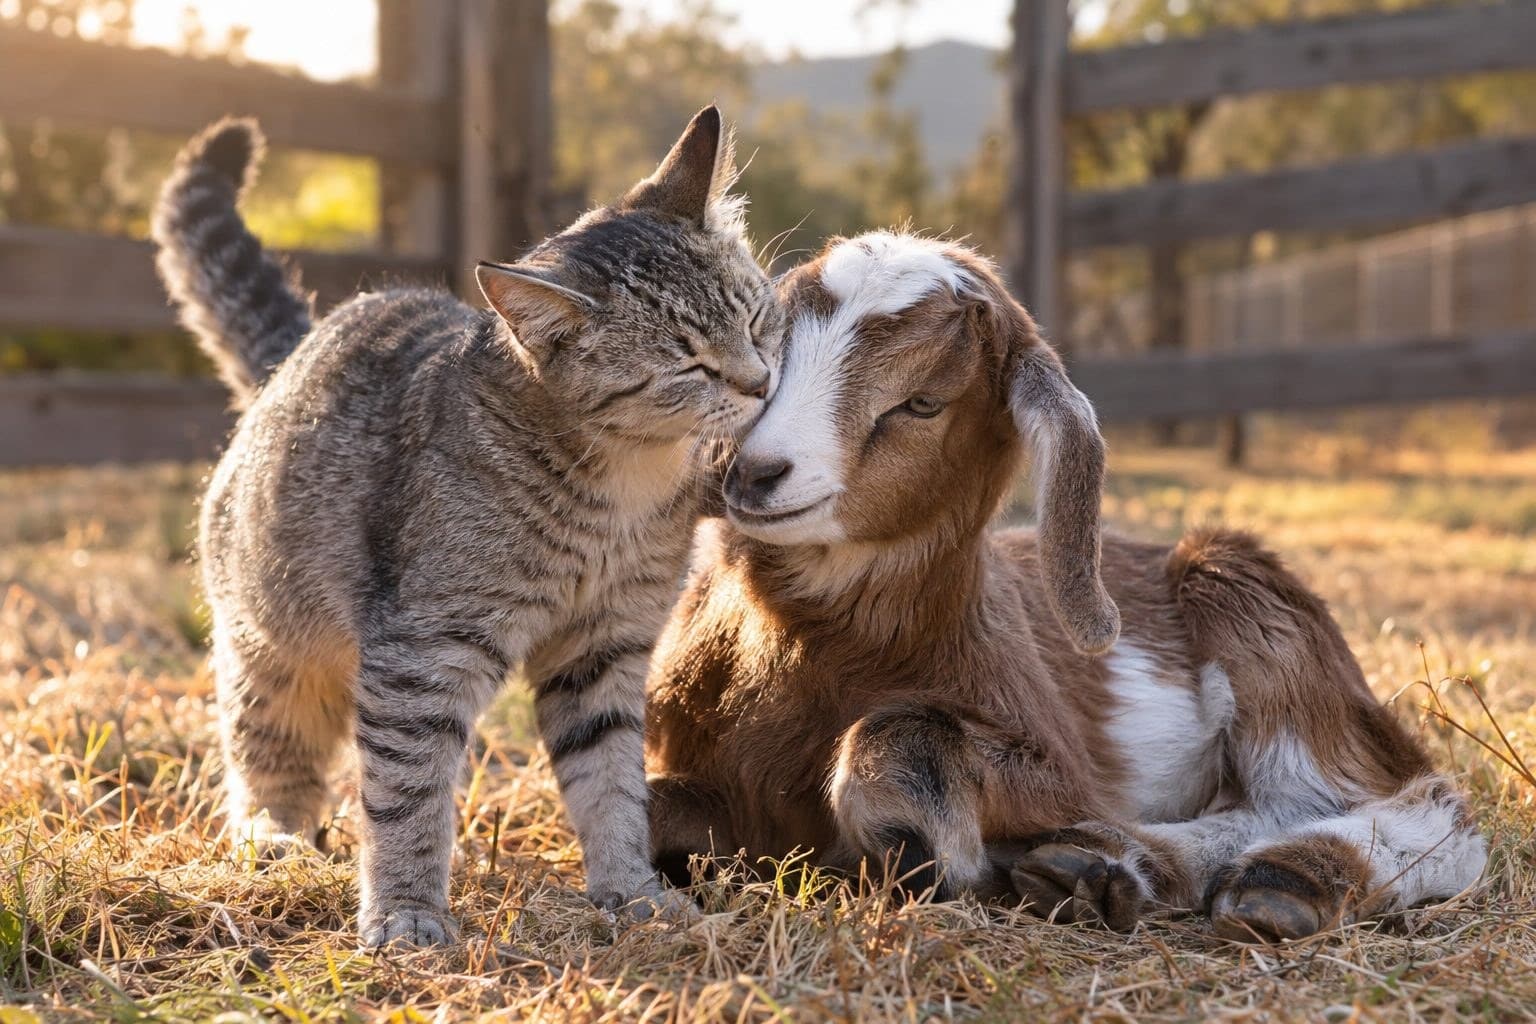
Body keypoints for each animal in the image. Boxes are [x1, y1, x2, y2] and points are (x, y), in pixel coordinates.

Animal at [644, 231, 1486, 941]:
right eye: (770, 349)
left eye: (921, 402)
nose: (753, 472)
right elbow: (652, 810)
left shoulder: (1058, 770)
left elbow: (906, 732)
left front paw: (919, 850)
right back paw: (1108, 870)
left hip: (1253, 610)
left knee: (1416, 805)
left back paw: (1262, 878)